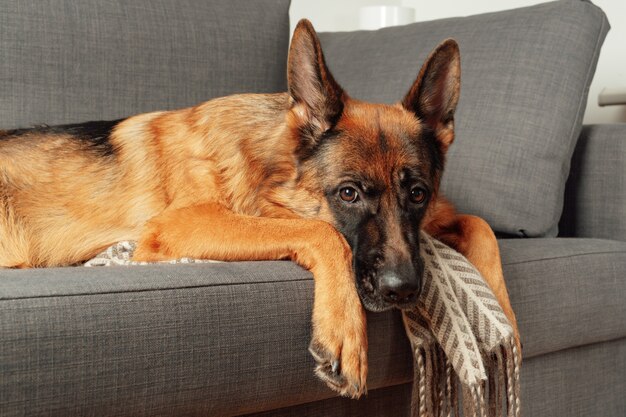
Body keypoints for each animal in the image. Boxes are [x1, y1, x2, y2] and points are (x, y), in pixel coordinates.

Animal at [0, 21, 516, 398]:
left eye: (418, 194)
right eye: (348, 194)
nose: (403, 290)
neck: (271, 166)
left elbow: (481, 225)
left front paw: (505, 319)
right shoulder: (183, 223)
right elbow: (323, 233)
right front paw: (345, 331)